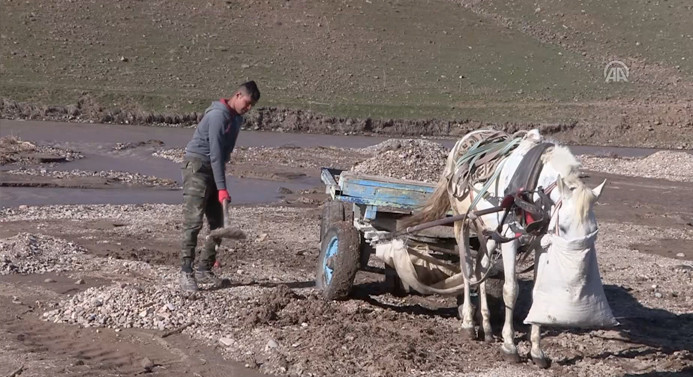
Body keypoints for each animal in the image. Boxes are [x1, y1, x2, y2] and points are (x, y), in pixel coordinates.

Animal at [406, 129, 604, 368]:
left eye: (594, 230)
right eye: (564, 227)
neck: (532, 192)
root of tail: (467, 138)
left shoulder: (540, 243)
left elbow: (536, 293)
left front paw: (537, 351)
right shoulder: (510, 240)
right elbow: (510, 290)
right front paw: (509, 346)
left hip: (488, 230)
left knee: (482, 266)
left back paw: (487, 327)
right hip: (461, 222)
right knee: (468, 269)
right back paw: (468, 324)